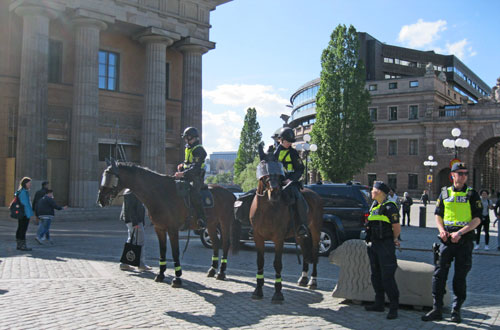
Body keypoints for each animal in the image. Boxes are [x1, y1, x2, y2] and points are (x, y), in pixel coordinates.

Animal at [98, 160, 239, 286]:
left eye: (110, 178)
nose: (100, 199)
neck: (160, 194)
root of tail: (231, 194)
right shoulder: (159, 228)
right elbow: (162, 251)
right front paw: (160, 274)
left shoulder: (172, 229)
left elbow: (175, 253)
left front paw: (177, 278)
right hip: (211, 224)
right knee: (215, 243)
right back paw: (212, 270)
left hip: (224, 222)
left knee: (225, 244)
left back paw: (221, 272)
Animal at [248, 161, 322, 302]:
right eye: (264, 169)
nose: (274, 193)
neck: (266, 209)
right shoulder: (258, 237)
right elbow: (260, 262)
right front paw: (258, 290)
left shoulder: (279, 238)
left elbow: (277, 264)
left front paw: (278, 293)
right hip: (300, 235)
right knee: (304, 250)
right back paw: (303, 278)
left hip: (315, 230)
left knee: (315, 253)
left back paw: (313, 280)